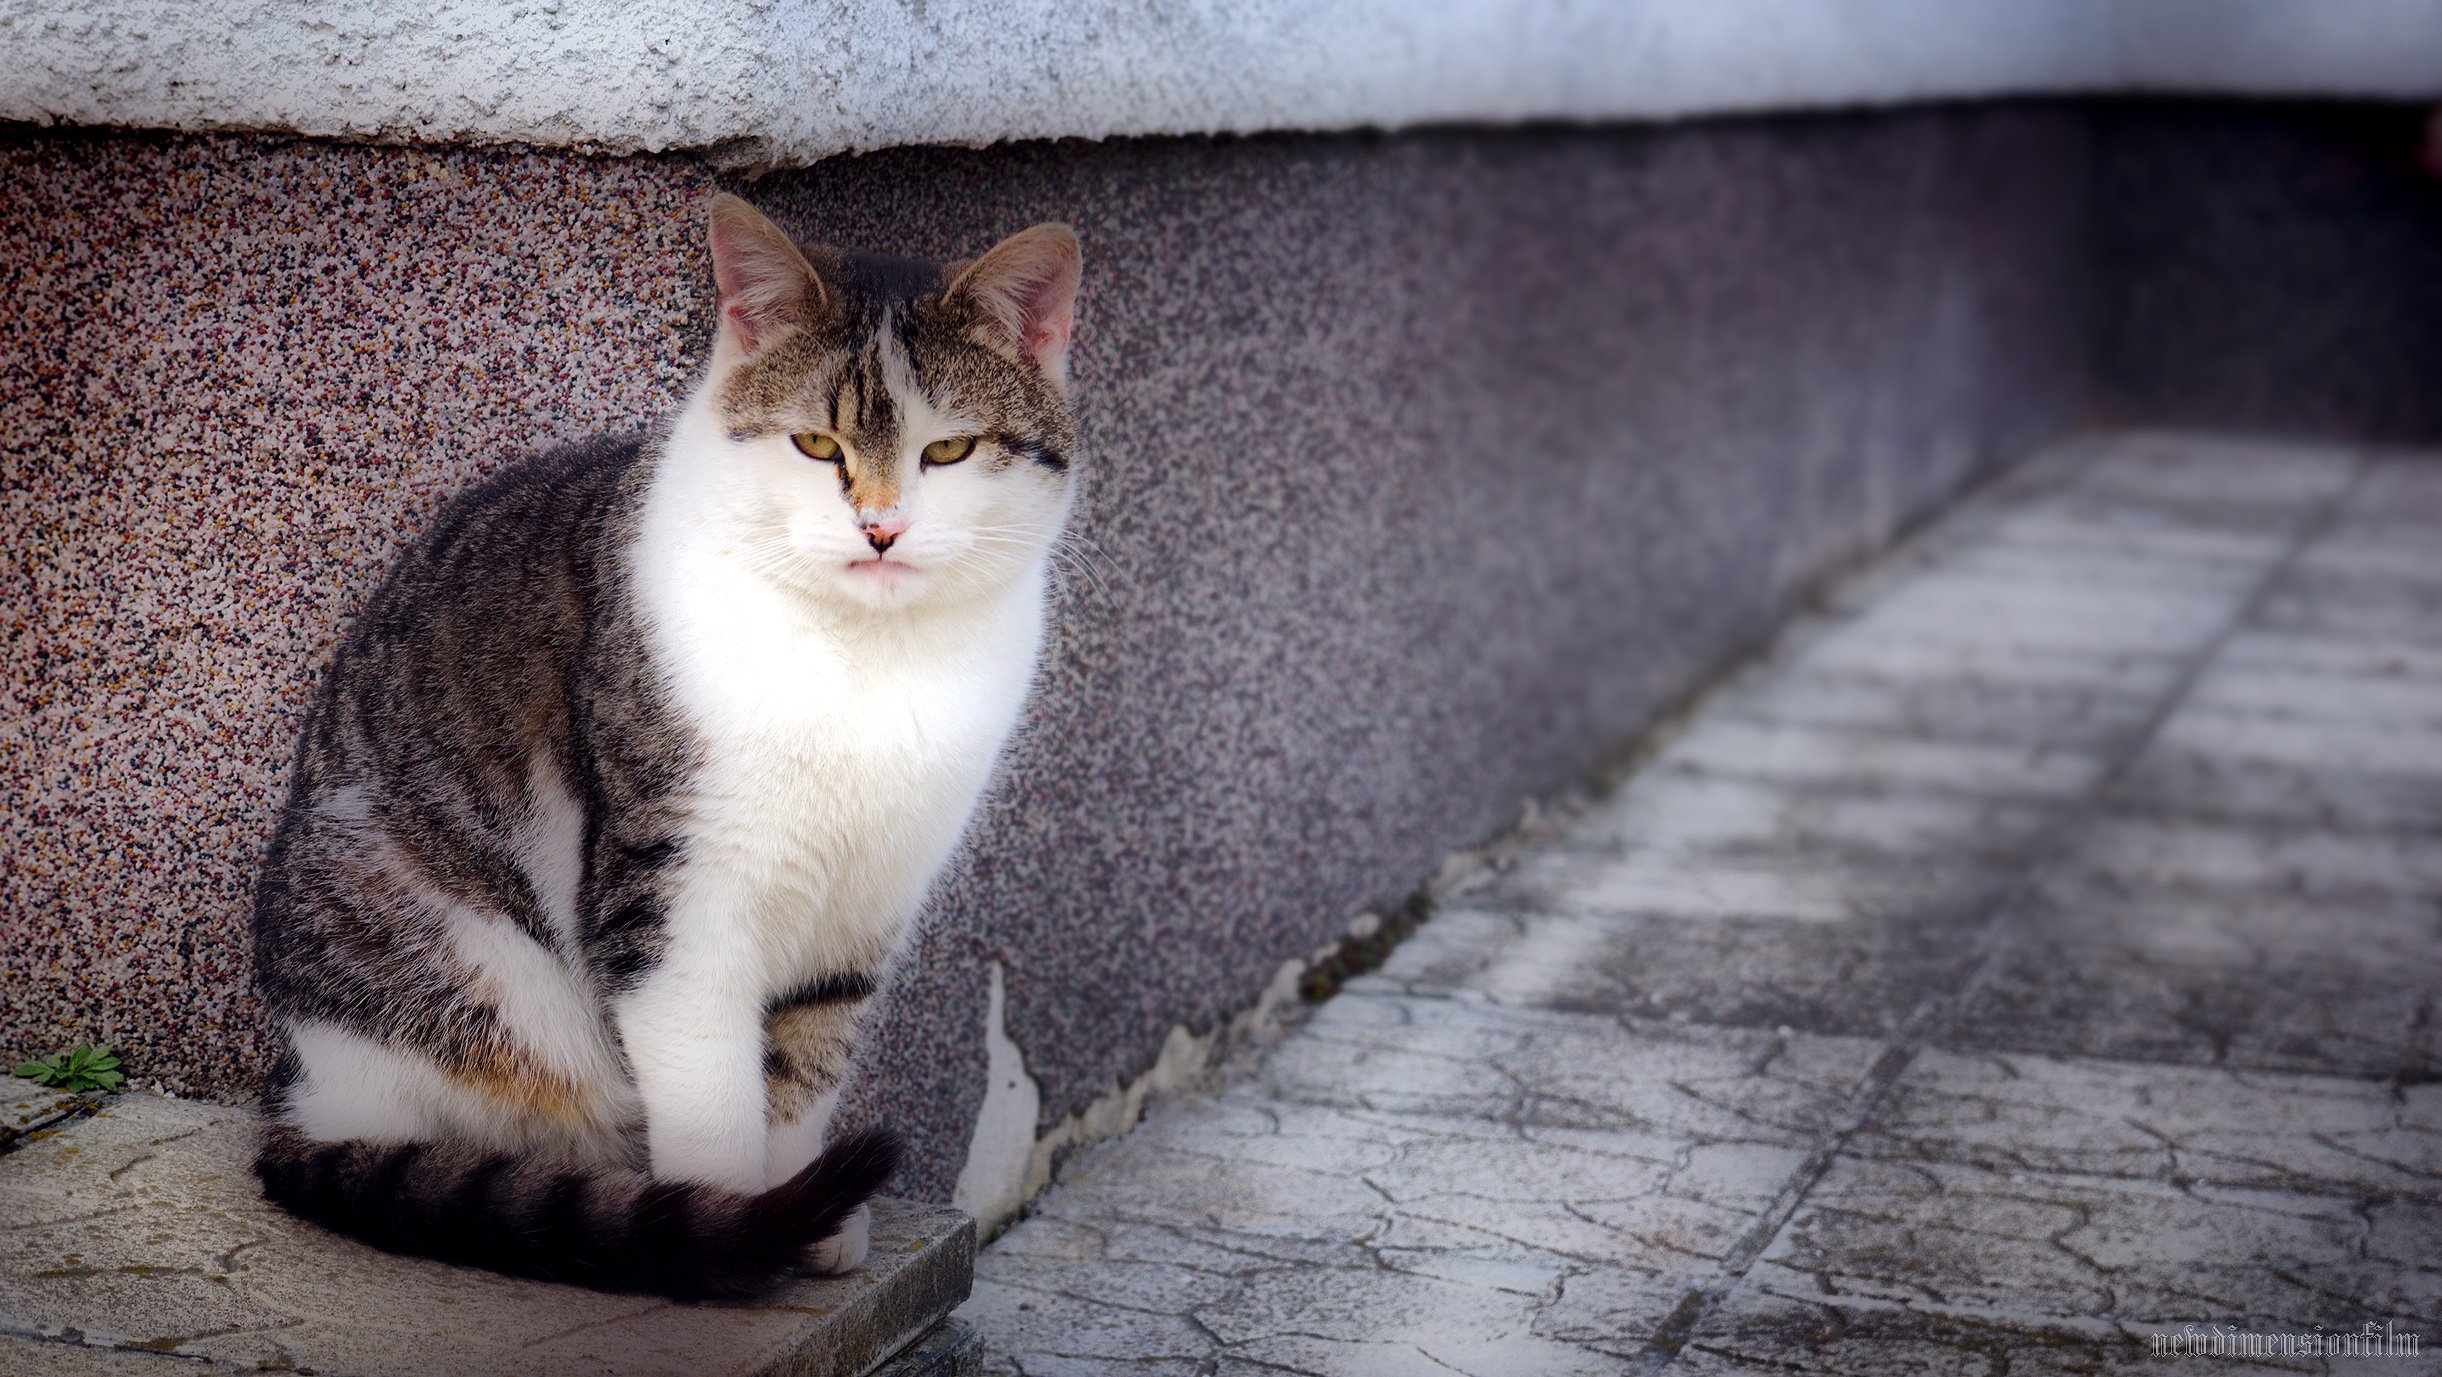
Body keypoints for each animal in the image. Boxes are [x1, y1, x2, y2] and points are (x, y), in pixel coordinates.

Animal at [247, 194, 1079, 1298]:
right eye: (814, 443)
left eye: (948, 453)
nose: (881, 530)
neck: (865, 658)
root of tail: (298, 1091)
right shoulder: (673, 892)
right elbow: (712, 1086)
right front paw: (731, 1232)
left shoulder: (866, 902)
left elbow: (805, 1062)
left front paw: (803, 1213)